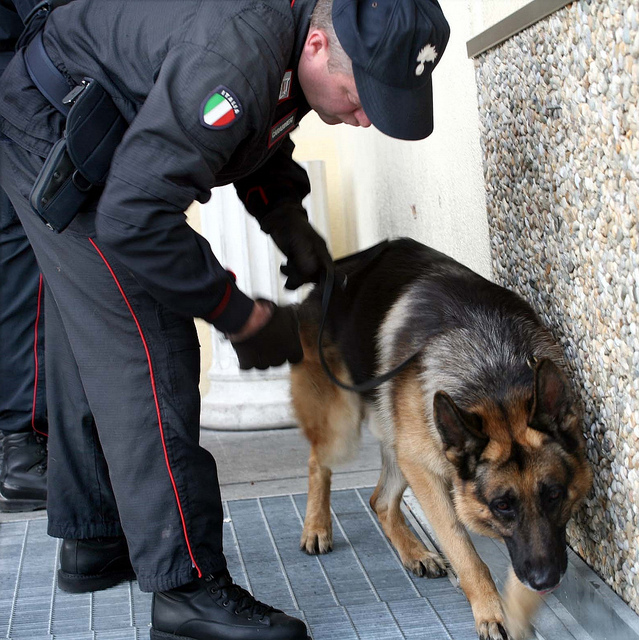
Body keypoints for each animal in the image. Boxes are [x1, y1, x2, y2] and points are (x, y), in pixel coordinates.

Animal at [292, 239, 592, 640]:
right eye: (502, 505)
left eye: (555, 494)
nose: (545, 581)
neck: (492, 375)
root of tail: (334, 272)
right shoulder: (426, 472)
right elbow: (463, 550)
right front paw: (491, 611)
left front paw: (516, 610)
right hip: (347, 426)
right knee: (317, 462)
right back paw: (316, 527)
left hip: (401, 442)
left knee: (380, 501)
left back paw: (414, 553)